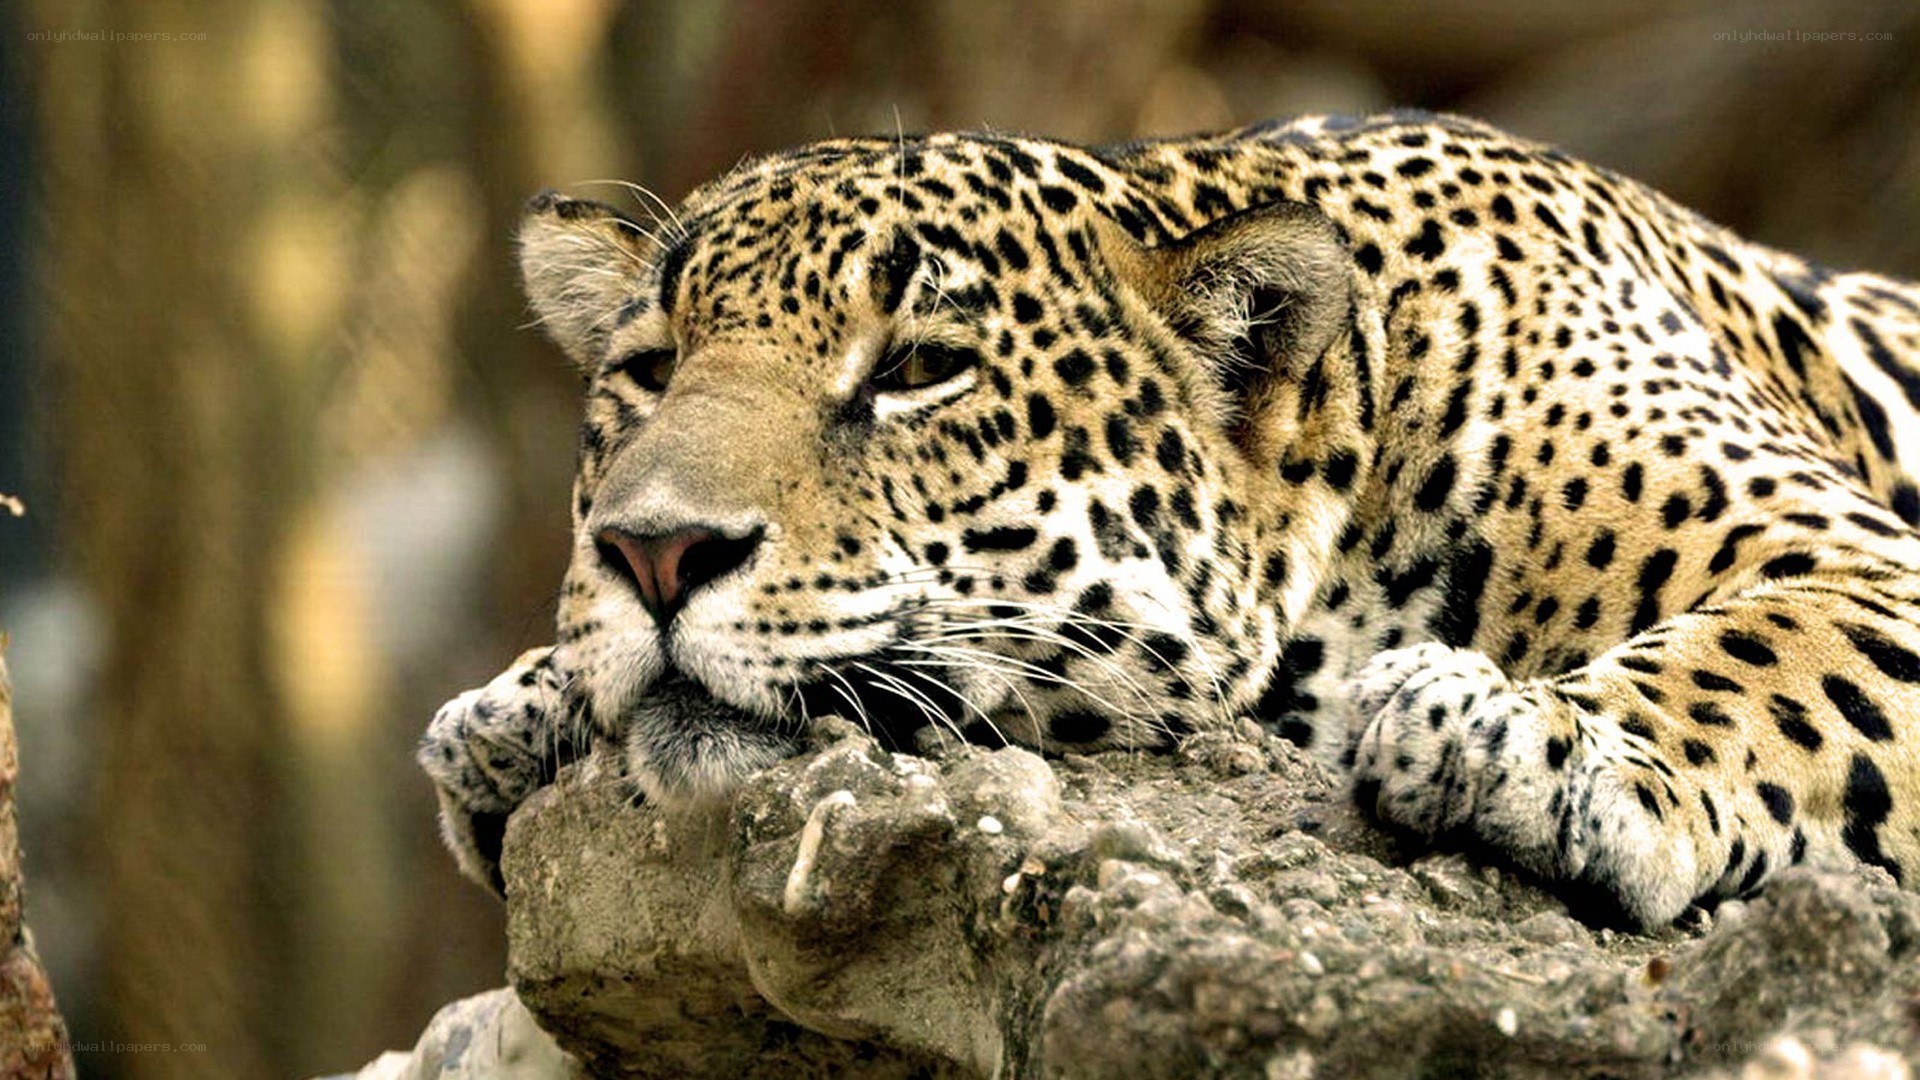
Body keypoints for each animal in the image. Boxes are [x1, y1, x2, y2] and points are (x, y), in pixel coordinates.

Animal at [419, 110, 1920, 929]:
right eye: (650, 368)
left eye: (918, 369)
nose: (653, 552)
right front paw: (524, 702)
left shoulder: (1859, 558)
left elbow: (1757, 660)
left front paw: (1525, 740)